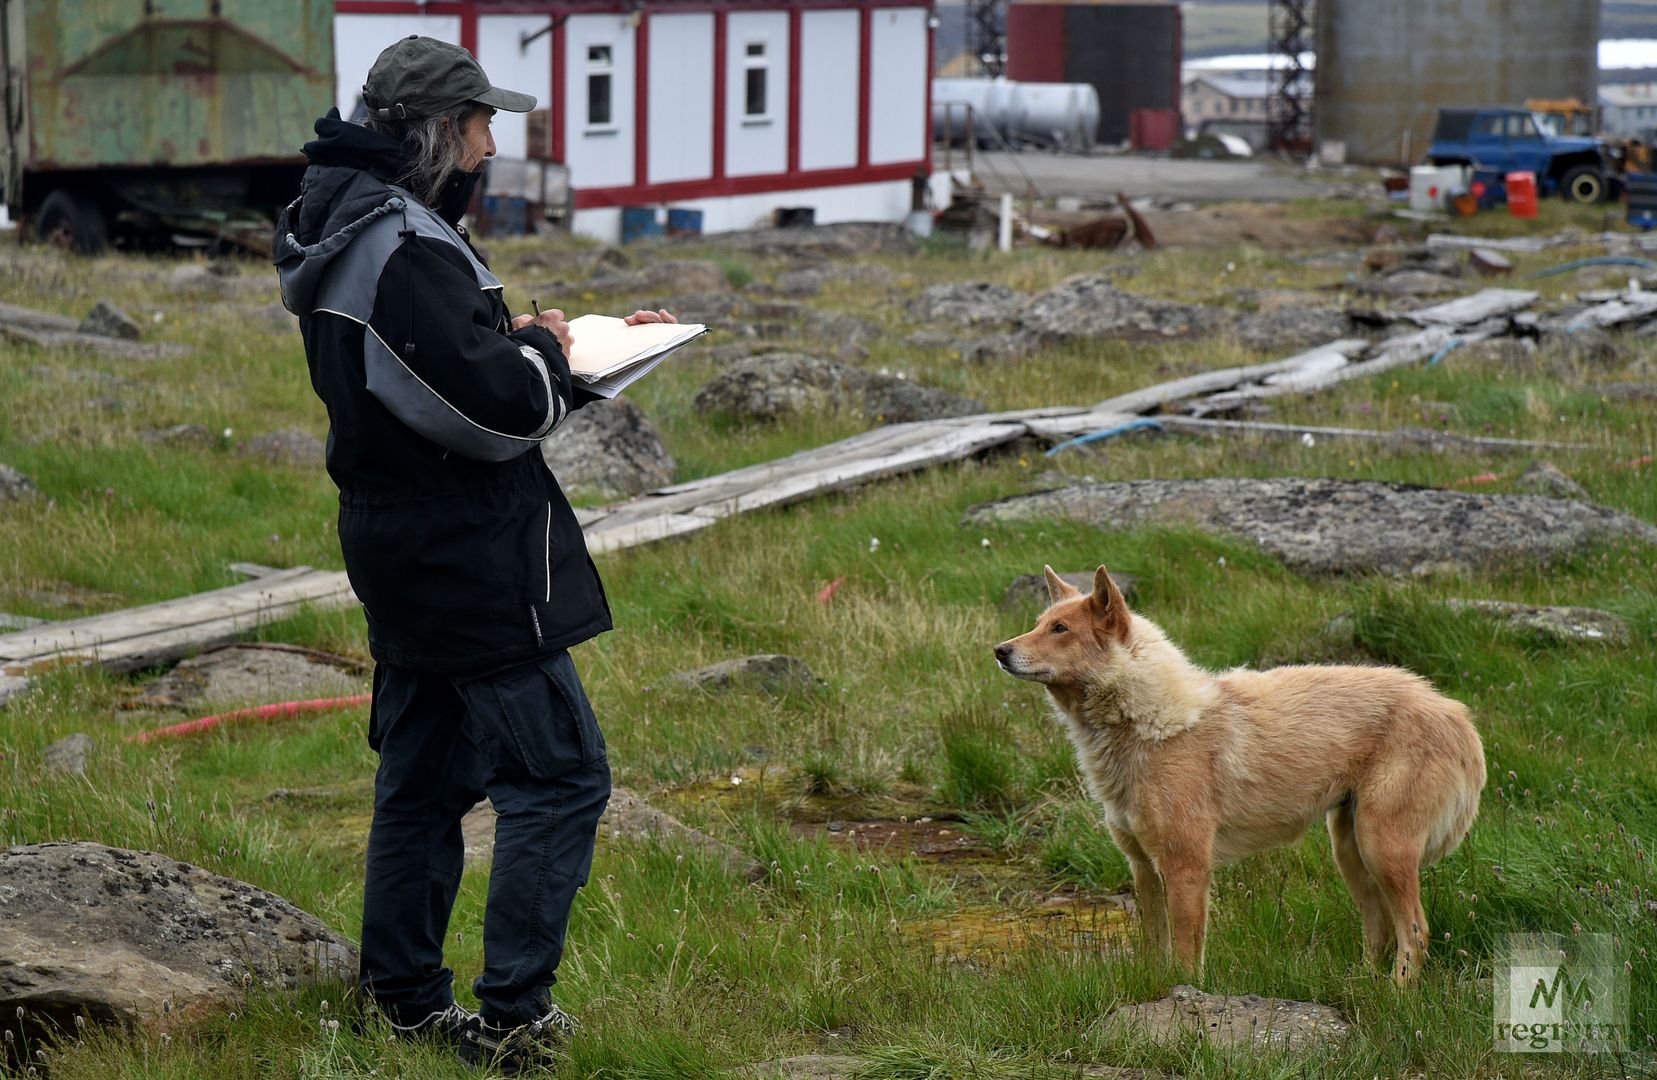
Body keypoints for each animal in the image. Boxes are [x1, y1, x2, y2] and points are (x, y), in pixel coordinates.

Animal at [994, 566, 1491, 987]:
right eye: (1040, 623)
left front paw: (1183, 1002)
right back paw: (1364, 986)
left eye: (1061, 630)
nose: (999, 651)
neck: (1151, 723)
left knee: (1416, 931)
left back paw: (1396, 997)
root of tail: (1454, 714)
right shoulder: (1143, 869)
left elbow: (1185, 956)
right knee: (1382, 930)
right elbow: (1154, 948)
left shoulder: (1186, 867)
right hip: (1351, 852)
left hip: (1382, 848)